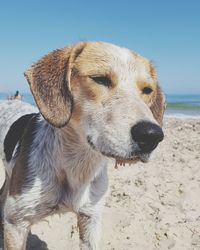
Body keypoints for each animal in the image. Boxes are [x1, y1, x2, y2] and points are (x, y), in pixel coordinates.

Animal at [0, 42, 165, 249]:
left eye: (148, 90)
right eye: (100, 79)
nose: (151, 135)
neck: (77, 165)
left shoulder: (91, 219)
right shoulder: (16, 223)